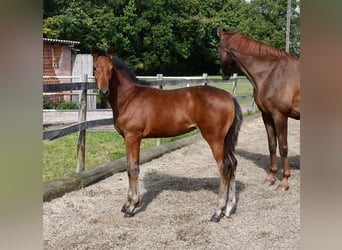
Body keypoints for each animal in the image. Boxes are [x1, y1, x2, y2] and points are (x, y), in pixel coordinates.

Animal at [91, 44, 243, 221]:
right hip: (225, 141)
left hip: (215, 139)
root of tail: (229, 97)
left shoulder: (133, 137)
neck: (129, 98)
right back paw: (229, 208)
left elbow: (133, 169)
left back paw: (217, 212)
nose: (104, 92)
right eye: (95, 68)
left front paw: (132, 207)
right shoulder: (127, 139)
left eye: (111, 69)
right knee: (233, 163)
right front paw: (126, 204)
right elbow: (129, 167)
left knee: (224, 167)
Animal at [216, 27, 300, 191]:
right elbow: (272, 145)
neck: (271, 73)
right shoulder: (267, 115)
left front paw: (284, 181)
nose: (223, 74)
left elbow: (283, 147)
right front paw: (271, 177)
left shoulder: (280, 116)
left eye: (218, 48)